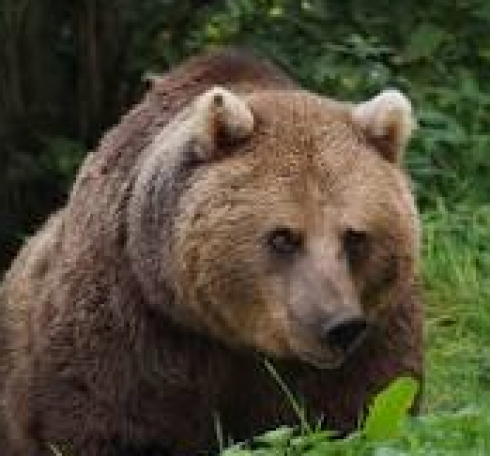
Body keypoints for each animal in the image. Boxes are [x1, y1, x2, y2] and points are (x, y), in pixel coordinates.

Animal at [0, 48, 422, 454]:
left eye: (355, 236)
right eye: (283, 236)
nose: (339, 326)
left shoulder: (376, 327)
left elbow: (364, 409)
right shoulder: (134, 321)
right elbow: (106, 420)